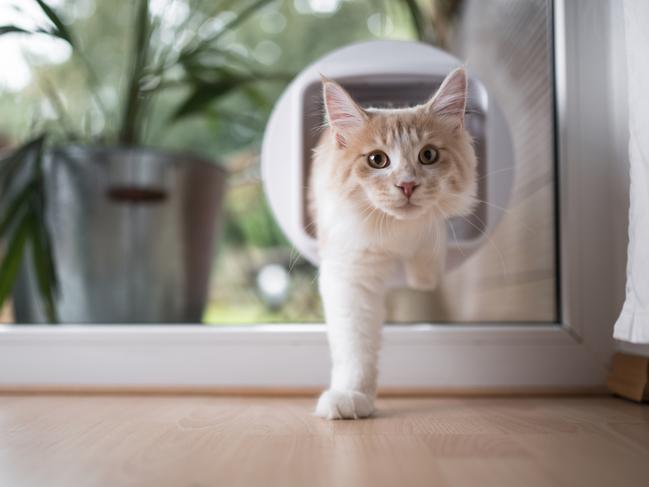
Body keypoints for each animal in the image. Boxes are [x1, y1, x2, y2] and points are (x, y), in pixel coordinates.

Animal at [308, 67, 476, 420]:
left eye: (428, 155)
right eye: (377, 160)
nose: (407, 185)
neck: (399, 232)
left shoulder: (432, 234)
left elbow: (428, 257)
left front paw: (424, 278)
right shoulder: (350, 275)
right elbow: (355, 346)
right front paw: (351, 395)